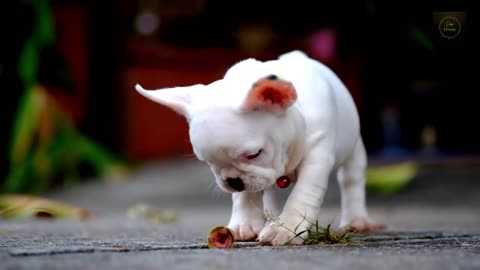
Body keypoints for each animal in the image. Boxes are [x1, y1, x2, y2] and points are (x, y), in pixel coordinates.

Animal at [135, 50, 382, 245]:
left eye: (254, 154)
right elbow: (246, 195)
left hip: (354, 149)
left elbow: (304, 193)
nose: (233, 181)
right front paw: (244, 223)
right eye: (208, 163)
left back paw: (356, 220)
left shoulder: (317, 156)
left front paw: (286, 227)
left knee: (351, 179)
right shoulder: (248, 178)